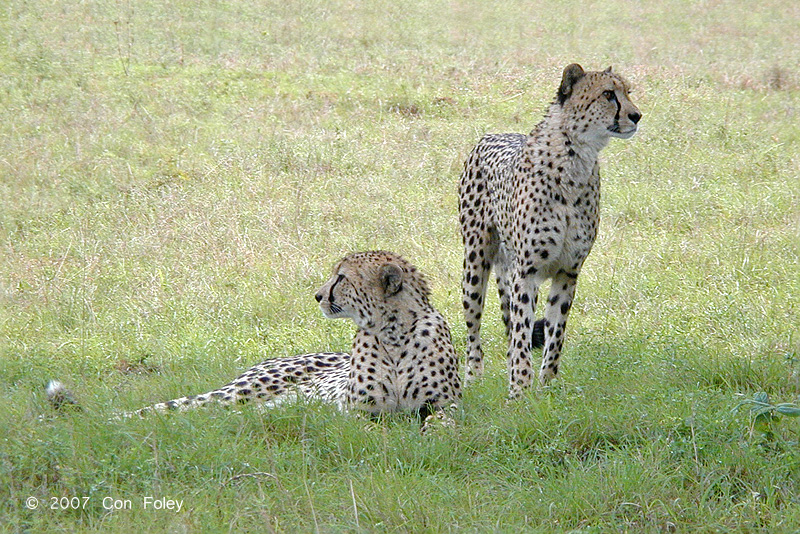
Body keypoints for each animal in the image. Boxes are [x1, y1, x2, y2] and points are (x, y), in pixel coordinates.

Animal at [48, 252, 462, 432]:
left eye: (341, 277)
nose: (317, 295)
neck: (392, 334)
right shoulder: (358, 410)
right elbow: (370, 428)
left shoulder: (444, 404)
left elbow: (443, 422)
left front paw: (434, 435)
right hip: (240, 393)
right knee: (178, 409)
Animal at [460, 63, 640, 398]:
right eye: (608, 94)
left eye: (627, 92)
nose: (636, 115)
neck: (575, 160)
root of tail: (492, 134)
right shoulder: (527, 271)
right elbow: (521, 333)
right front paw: (519, 391)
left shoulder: (568, 271)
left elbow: (556, 333)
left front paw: (547, 388)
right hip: (476, 262)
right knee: (473, 327)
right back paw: (473, 378)